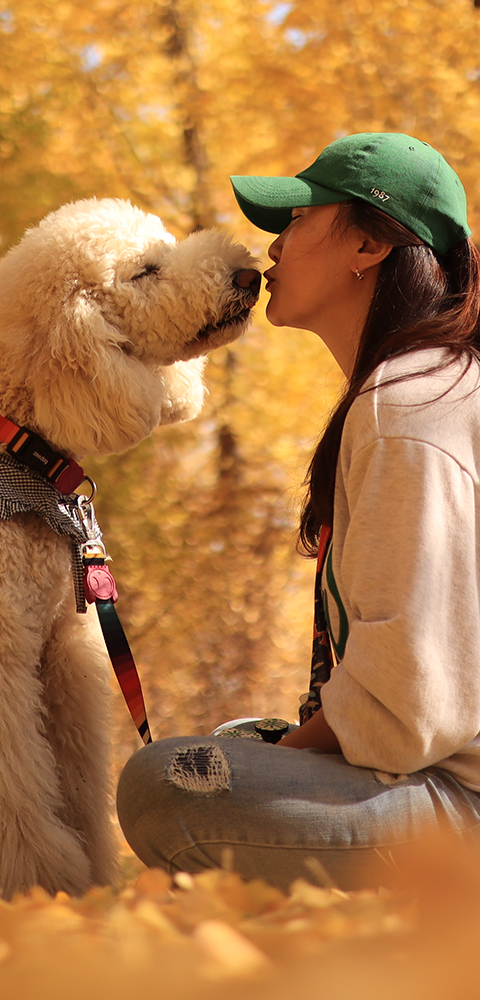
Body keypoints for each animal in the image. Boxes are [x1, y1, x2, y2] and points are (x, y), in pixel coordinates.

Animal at [0, 197, 260, 900]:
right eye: (144, 272)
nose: (249, 274)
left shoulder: (60, 650)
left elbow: (77, 774)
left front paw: (86, 880)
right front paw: (37, 886)